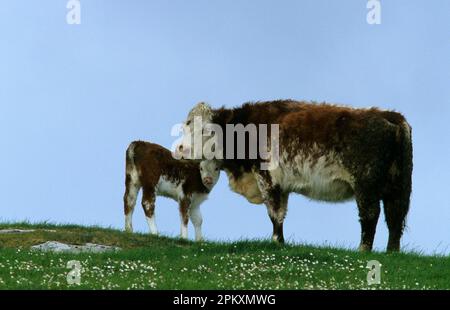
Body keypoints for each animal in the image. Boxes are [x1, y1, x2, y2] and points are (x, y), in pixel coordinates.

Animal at [174, 100, 414, 252]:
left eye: (205, 130)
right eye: (185, 125)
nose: (179, 148)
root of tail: (390, 116)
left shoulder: (267, 179)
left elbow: (274, 214)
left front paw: (276, 242)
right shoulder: (282, 186)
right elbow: (281, 213)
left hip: (366, 186)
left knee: (371, 216)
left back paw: (363, 250)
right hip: (398, 186)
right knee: (395, 218)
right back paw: (392, 253)